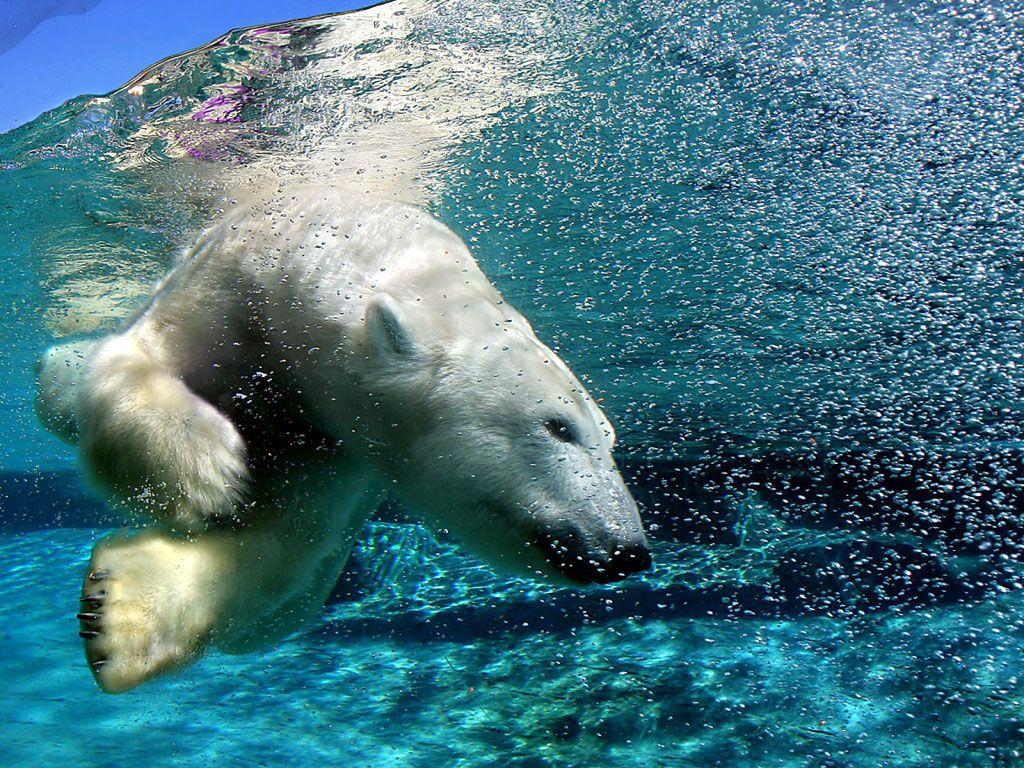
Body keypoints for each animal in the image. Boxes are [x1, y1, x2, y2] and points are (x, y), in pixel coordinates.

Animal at [36, 186, 650, 693]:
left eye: (610, 441)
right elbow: (138, 358)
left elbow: (288, 537)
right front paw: (208, 471)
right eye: (558, 426)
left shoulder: (341, 443)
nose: (627, 550)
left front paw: (116, 613)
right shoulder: (230, 286)